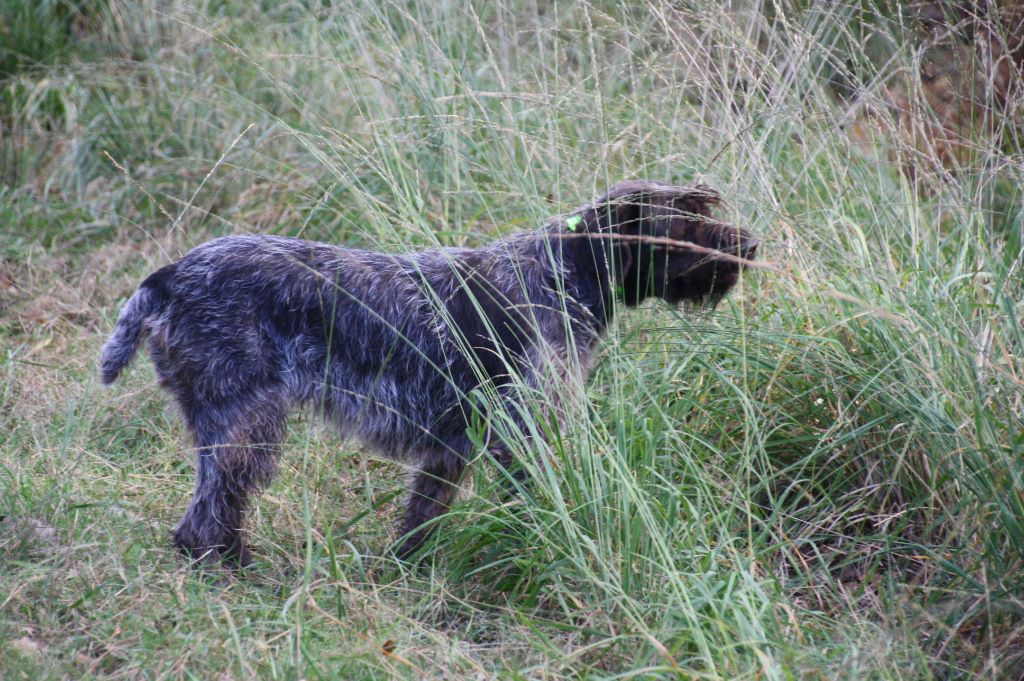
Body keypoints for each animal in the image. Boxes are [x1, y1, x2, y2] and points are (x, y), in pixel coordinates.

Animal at [101, 179, 761, 561]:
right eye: (686, 219)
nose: (749, 245)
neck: (565, 271)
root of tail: (170, 276)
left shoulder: (451, 448)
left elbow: (421, 518)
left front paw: (407, 567)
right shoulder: (523, 434)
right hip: (247, 421)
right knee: (207, 514)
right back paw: (226, 565)